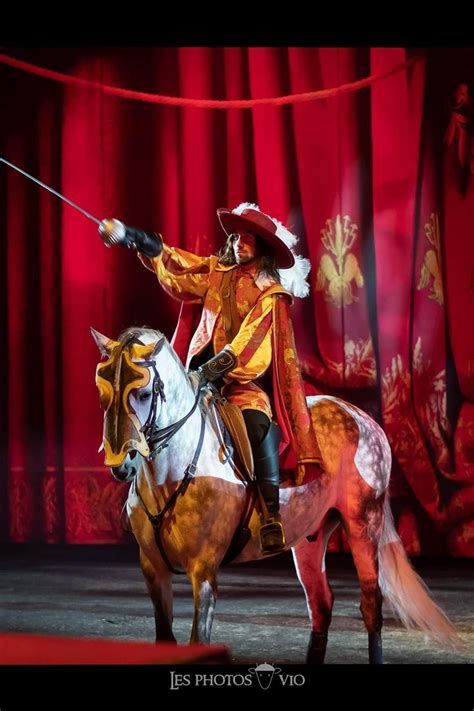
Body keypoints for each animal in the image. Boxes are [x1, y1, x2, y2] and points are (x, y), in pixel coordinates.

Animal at [90, 326, 458, 664]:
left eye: (143, 393)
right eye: (102, 390)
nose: (121, 464)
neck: (171, 473)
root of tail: (362, 418)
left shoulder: (204, 571)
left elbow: (198, 641)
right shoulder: (153, 569)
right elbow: (165, 640)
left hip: (363, 523)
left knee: (371, 604)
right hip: (310, 538)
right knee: (320, 604)